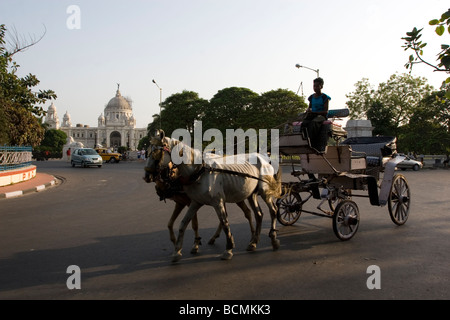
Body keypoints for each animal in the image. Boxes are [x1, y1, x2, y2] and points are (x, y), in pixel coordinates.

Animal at [149, 131, 280, 262]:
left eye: (156, 153)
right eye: (147, 152)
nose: (148, 175)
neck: (199, 172)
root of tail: (265, 157)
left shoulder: (218, 202)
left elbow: (224, 222)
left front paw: (228, 249)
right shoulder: (195, 202)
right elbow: (183, 224)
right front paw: (177, 251)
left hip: (264, 191)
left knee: (273, 211)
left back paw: (273, 239)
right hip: (250, 194)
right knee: (258, 214)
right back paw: (253, 242)